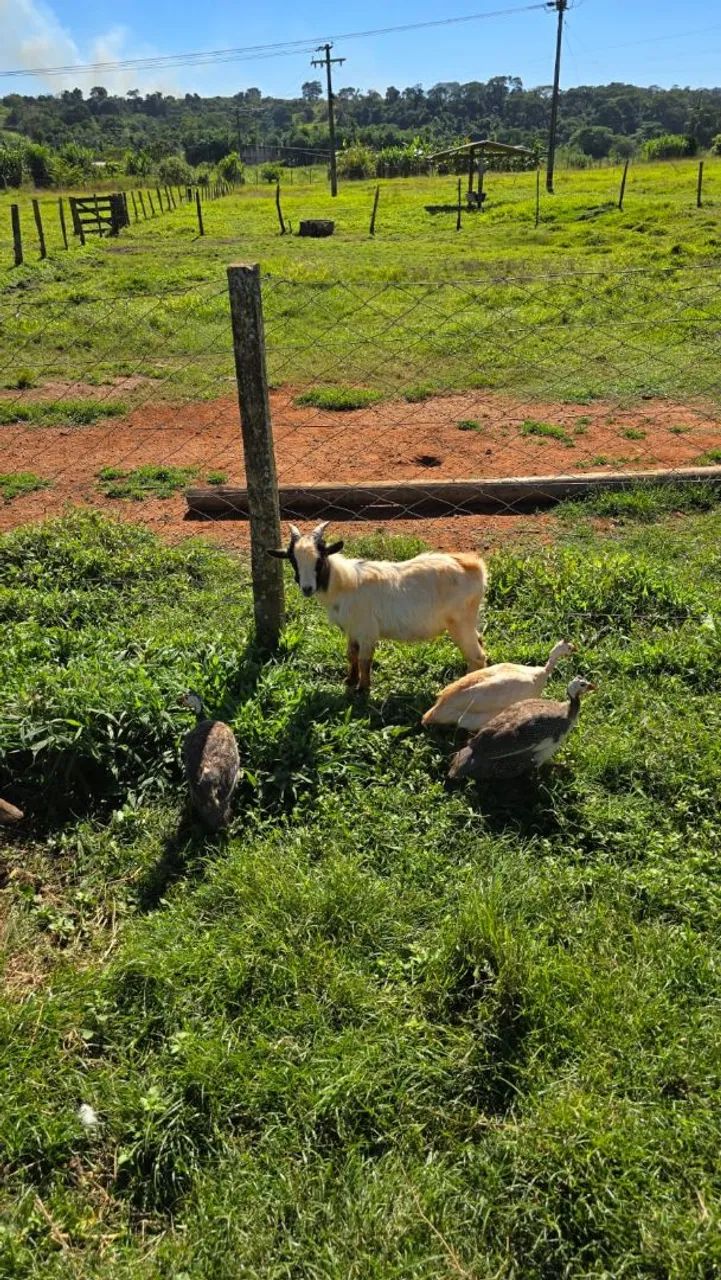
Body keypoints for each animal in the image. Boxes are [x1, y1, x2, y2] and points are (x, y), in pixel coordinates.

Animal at [268, 522, 488, 692]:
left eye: (319, 559)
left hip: (460, 623)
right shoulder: (352, 630)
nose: (307, 588)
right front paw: (350, 680)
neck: (345, 584)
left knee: (477, 657)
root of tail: (475, 566)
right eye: (293, 560)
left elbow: (365, 660)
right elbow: (351, 654)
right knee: (479, 643)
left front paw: (363, 688)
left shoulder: (367, 630)